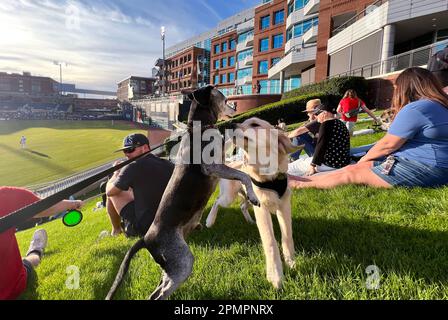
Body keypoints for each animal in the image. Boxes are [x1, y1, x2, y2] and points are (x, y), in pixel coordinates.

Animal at [107, 85, 260, 300]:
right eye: (225, 99)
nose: (237, 106)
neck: (199, 128)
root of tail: (146, 238)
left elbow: (233, 150)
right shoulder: (213, 167)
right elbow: (244, 175)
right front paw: (253, 196)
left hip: (170, 268)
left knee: (157, 291)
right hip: (183, 262)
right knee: (158, 295)